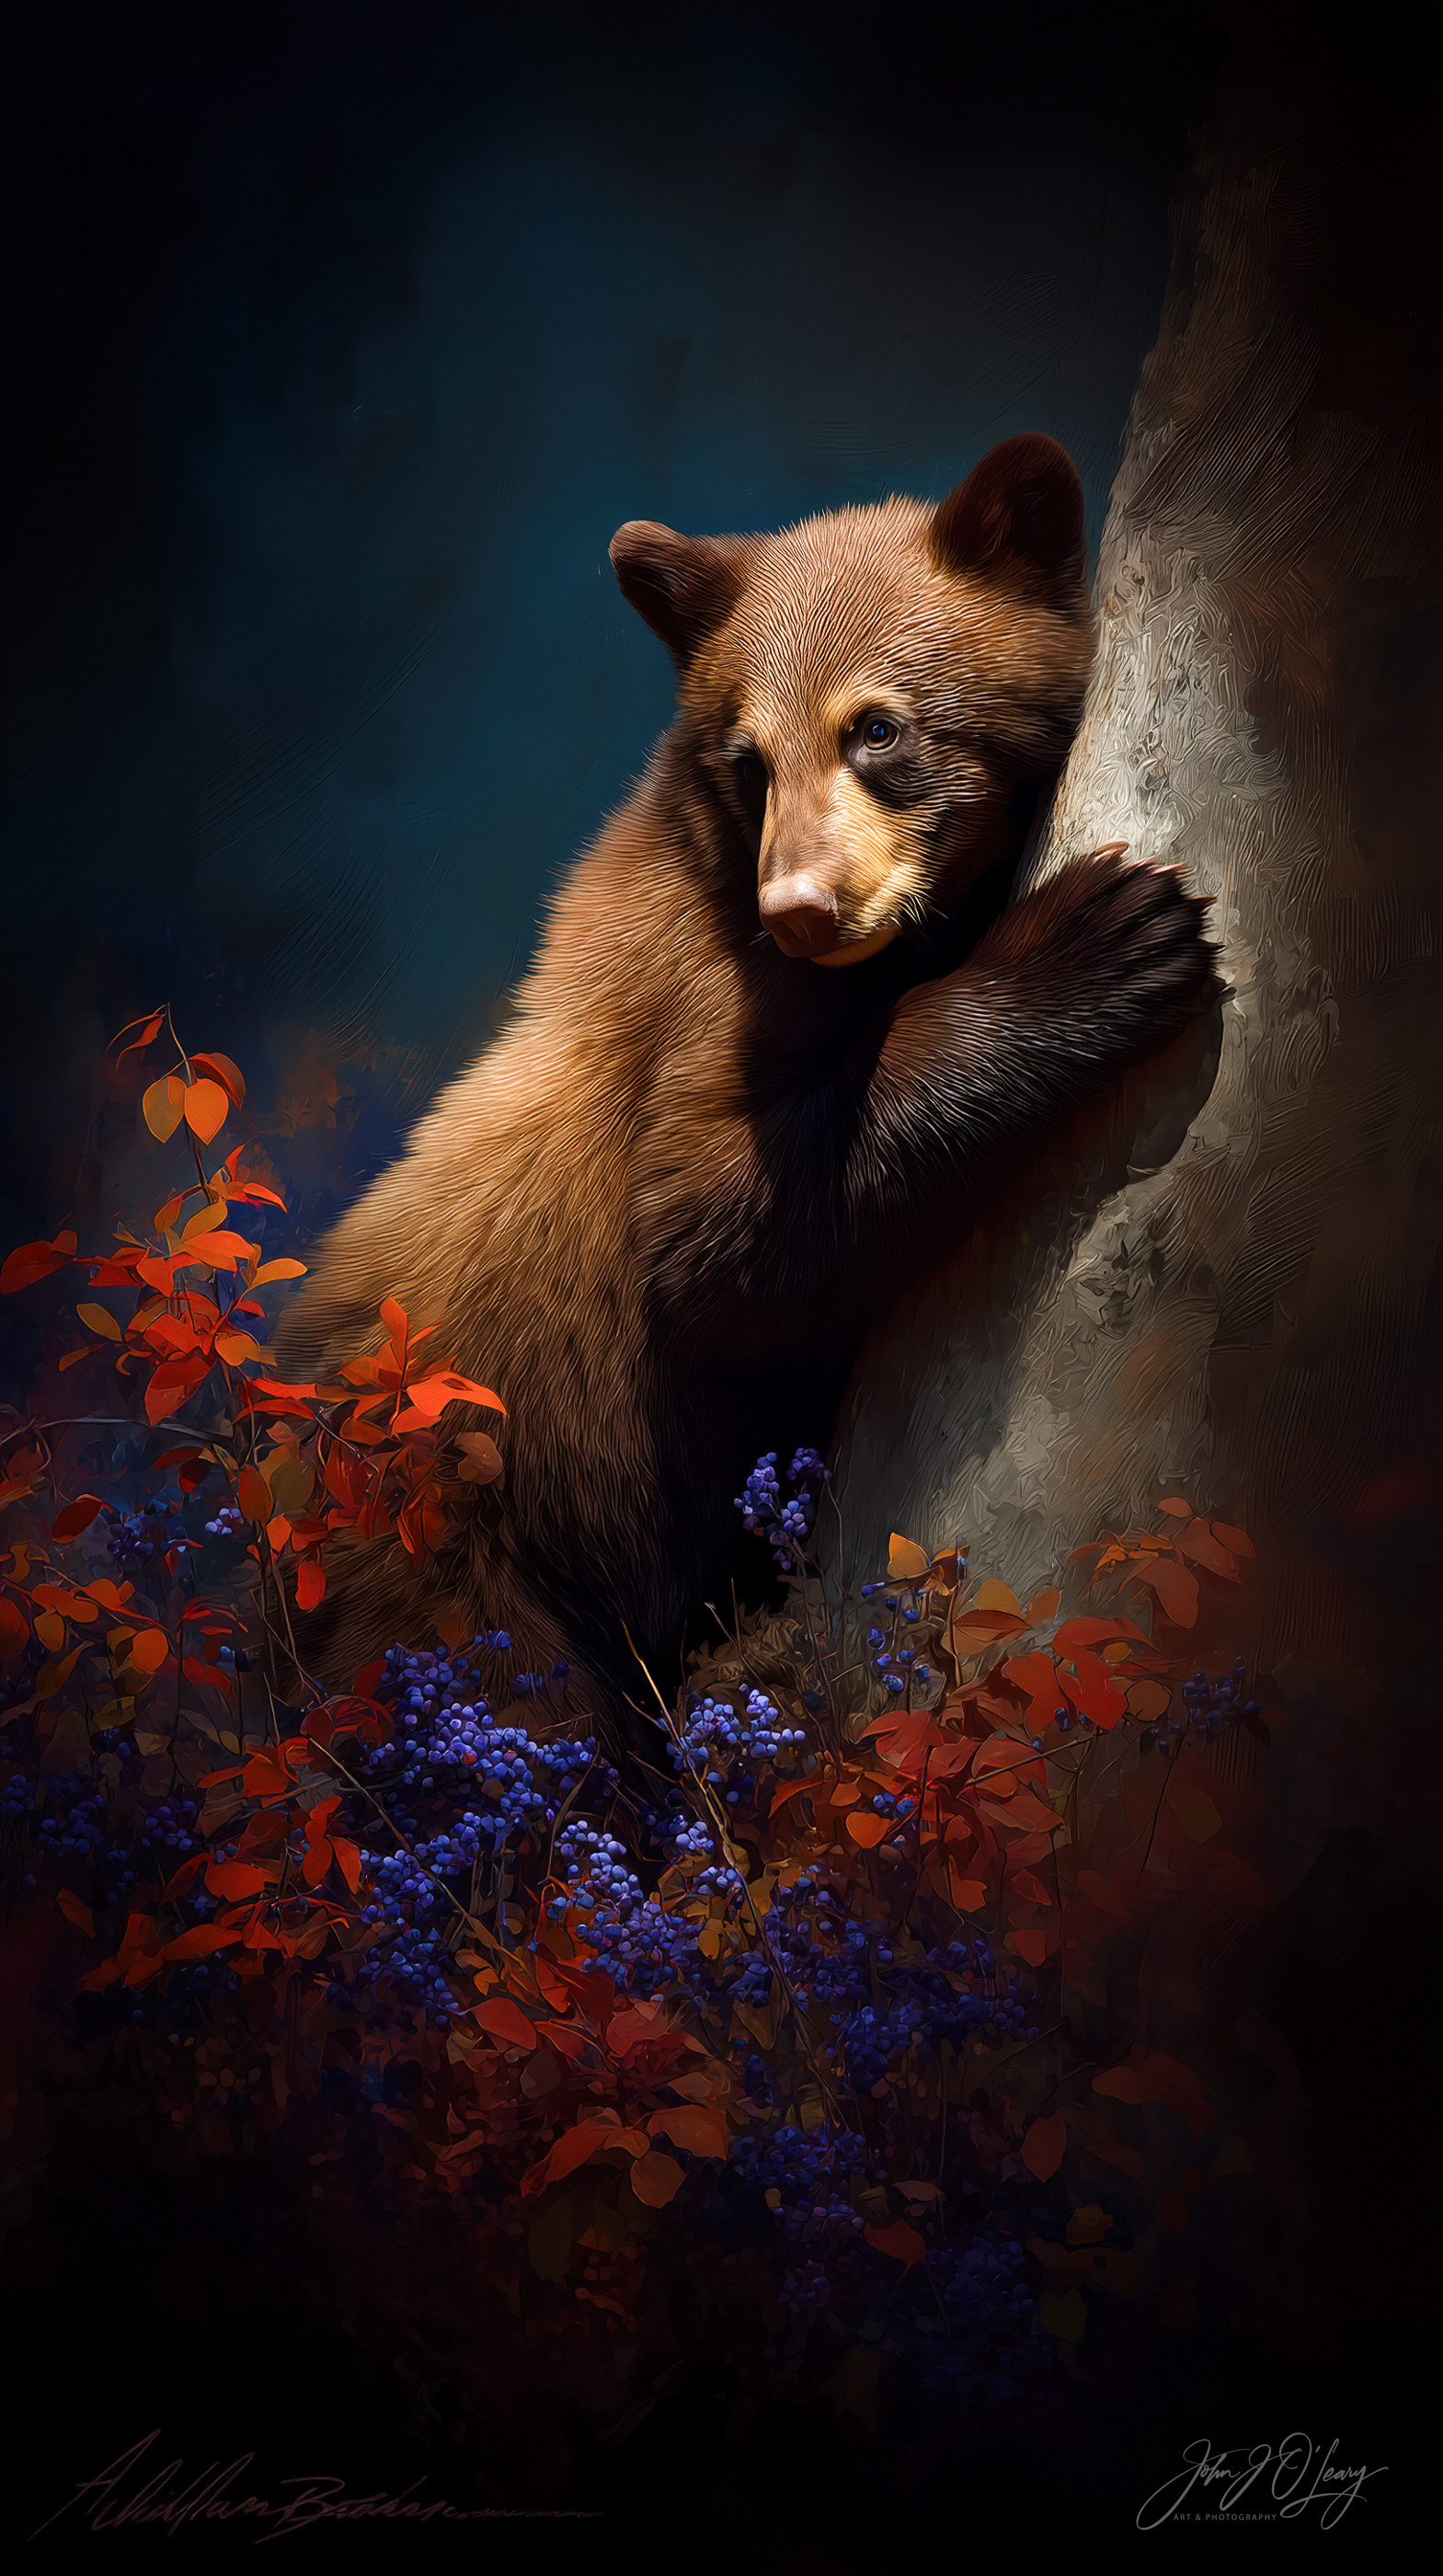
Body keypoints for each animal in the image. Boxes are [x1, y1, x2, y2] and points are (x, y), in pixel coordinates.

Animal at [274, 433, 1216, 1732]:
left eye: (877, 728)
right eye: (747, 757)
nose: (799, 909)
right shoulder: (696, 998)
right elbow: (718, 1231)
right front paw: (1104, 936)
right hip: (452, 1568)